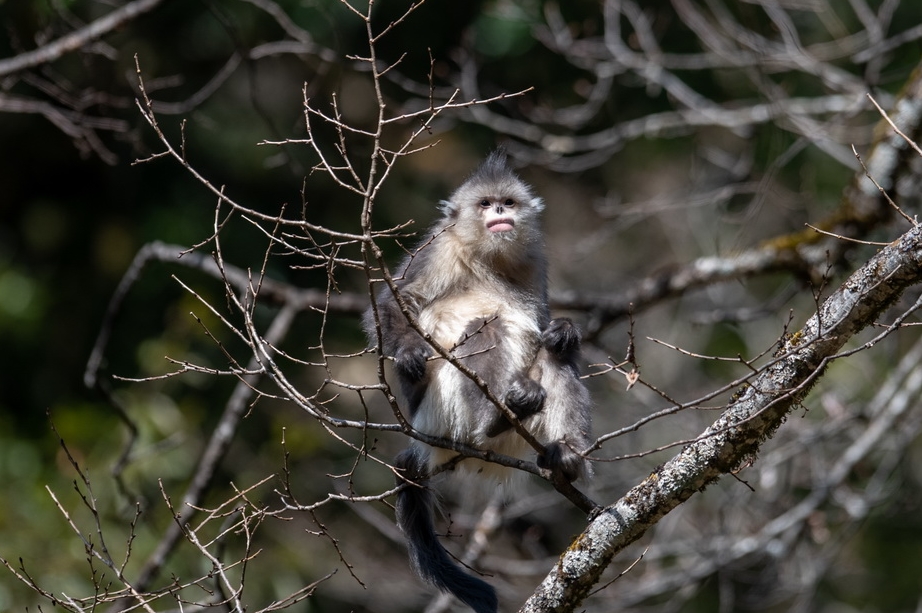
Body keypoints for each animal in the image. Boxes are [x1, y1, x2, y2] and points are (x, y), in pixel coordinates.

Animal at [364, 148, 588, 612]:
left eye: (507, 202)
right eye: (485, 204)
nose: (500, 213)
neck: (489, 259)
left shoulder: (534, 260)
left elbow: (545, 326)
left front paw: (565, 329)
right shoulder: (439, 248)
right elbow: (397, 302)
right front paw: (408, 355)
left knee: (555, 356)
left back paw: (566, 454)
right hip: (441, 414)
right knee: (486, 329)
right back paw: (493, 421)